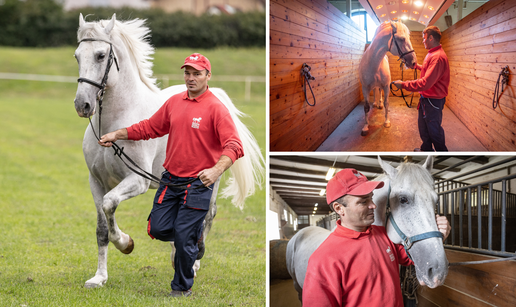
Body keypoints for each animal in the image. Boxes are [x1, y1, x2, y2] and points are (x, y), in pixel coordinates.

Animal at [72, 13, 264, 288]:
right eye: (77, 55)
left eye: (100, 55)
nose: (82, 105)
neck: (114, 122)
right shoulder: (96, 182)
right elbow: (102, 228)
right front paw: (99, 277)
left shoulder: (137, 181)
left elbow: (110, 206)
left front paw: (126, 243)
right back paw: (177, 254)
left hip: (210, 180)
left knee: (206, 215)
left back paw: (193, 261)